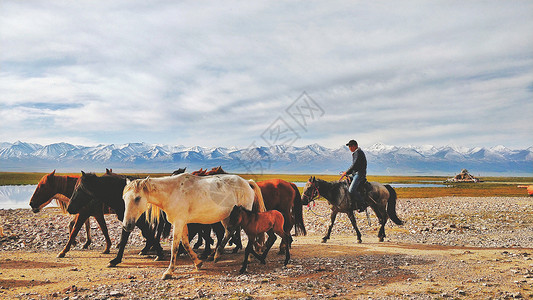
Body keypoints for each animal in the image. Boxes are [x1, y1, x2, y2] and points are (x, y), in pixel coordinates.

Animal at [124, 172, 266, 280]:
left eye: (137, 198)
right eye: (124, 198)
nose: (127, 225)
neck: (172, 192)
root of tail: (247, 182)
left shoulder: (178, 223)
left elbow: (175, 247)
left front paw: (169, 272)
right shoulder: (182, 223)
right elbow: (186, 243)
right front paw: (198, 263)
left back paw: (248, 257)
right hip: (227, 217)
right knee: (228, 232)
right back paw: (217, 255)